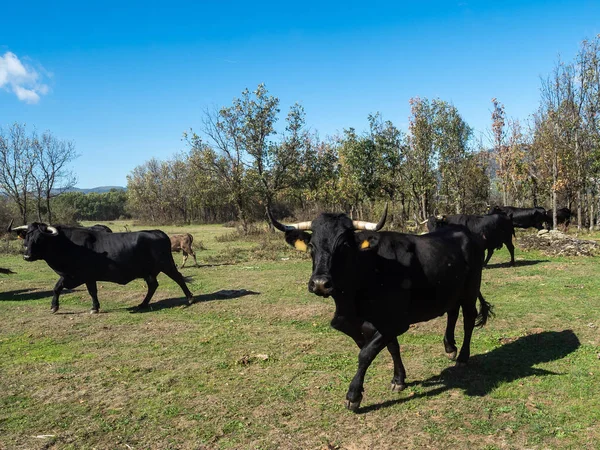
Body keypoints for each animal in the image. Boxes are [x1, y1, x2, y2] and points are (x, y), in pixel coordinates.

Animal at [7, 221, 195, 312]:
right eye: (27, 237)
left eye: (40, 238)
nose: (27, 256)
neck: (67, 245)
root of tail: (158, 232)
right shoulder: (70, 276)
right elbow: (57, 287)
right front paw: (54, 306)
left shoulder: (85, 275)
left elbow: (91, 291)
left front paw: (94, 308)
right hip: (149, 272)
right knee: (153, 286)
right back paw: (142, 303)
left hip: (166, 265)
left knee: (178, 278)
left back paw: (190, 298)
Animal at [268, 207, 492, 412]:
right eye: (312, 246)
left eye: (344, 245)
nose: (320, 283)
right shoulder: (369, 325)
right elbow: (392, 347)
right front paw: (399, 379)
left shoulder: (397, 323)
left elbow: (365, 354)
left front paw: (353, 395)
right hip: (452, 291)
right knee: (452, 312)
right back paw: (450, 348)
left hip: (471, 289)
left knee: (468, 319)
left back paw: (462, 357)